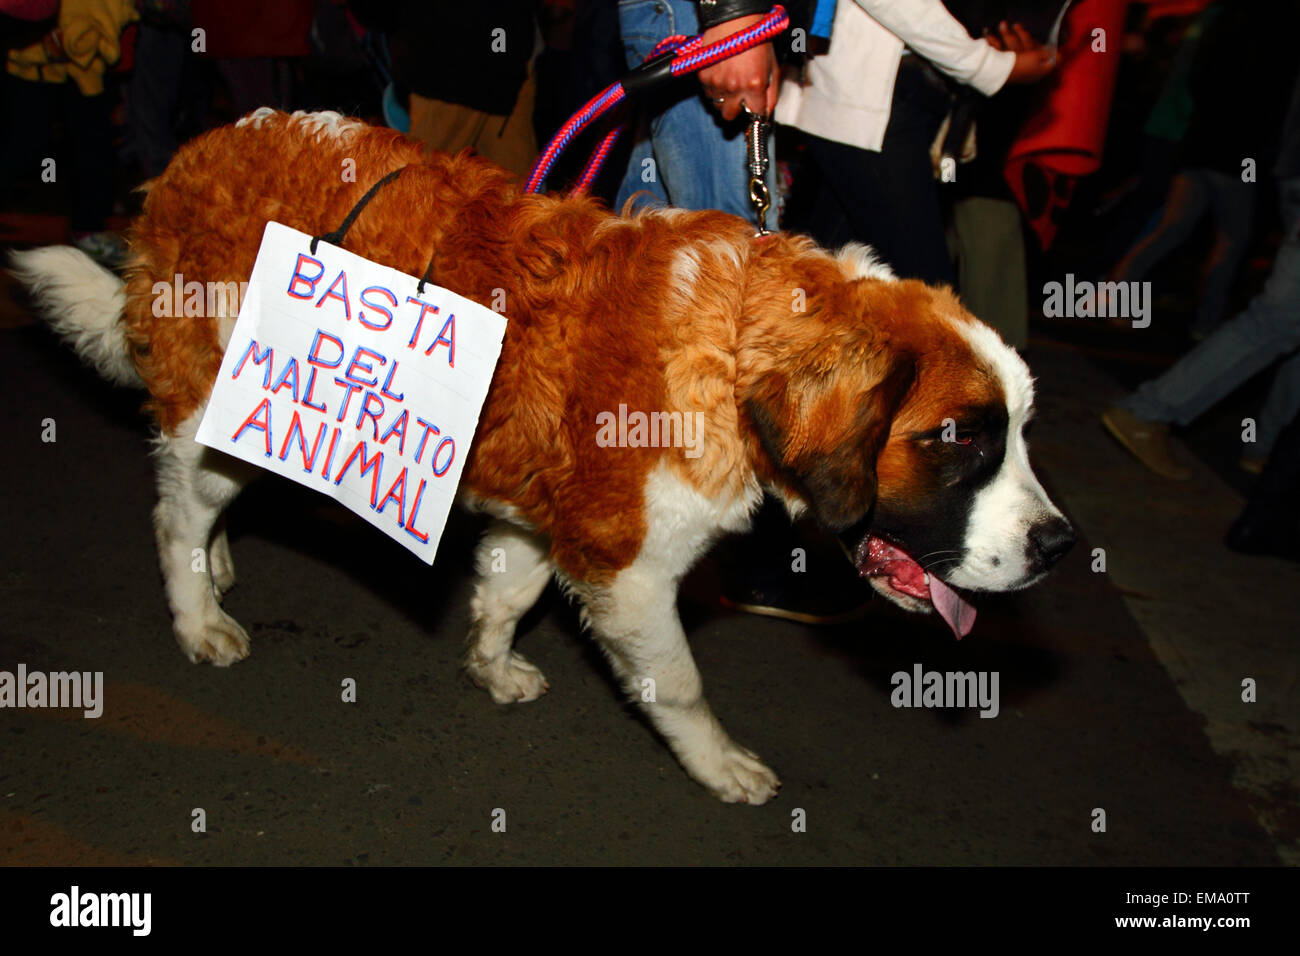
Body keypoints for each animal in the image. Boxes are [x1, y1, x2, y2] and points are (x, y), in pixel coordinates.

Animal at [10, 108, 1076, 806]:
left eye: (1017, 431)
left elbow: (509, 592)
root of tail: (197, 153)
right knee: (174, 509)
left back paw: (221, 568)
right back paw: (199, 615)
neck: (737, 345)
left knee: (202, 498)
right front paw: (720, 762)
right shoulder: (628, 568)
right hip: (232, 402)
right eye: (960, 440)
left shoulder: (545, 511)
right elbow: (679, 683)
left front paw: (490, 664)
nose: (1061, 547)